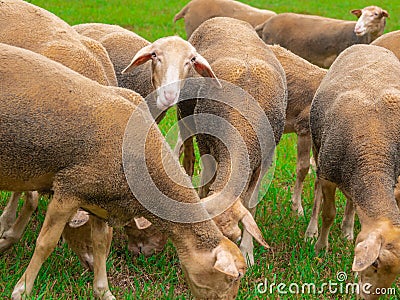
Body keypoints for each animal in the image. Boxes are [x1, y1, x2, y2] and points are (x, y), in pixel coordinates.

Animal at [0, 43, 247, 300]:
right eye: (234, 278)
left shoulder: (100, 202)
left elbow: (101, 245)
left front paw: (103, 290)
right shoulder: (68, 191)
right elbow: (45, 243)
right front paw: (22, 290)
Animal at [188, 16, 288, 264]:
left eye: (234, 237)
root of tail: (224, 17)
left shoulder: (264, 160)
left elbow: (250, 205)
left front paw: (248, 252)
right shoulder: (206, 144)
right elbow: (206, 184)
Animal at [310, 44, 400, 298]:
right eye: (375, 263)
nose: (368, 298)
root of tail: (369, 45)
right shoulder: (328, 174)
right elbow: (328, 213)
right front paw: (321, 248)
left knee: (351, 200)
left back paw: (348, 230)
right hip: (318, 149)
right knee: (317, 192)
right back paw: (311, 231)